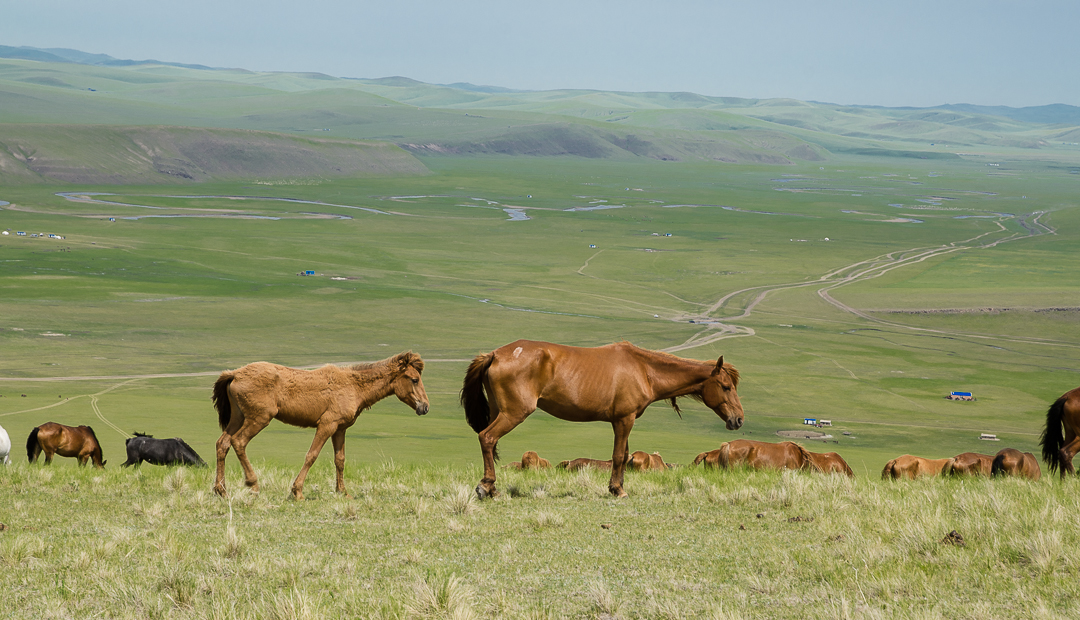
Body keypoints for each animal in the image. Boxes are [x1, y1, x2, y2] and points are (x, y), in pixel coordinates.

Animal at [212, 352, 427, 503]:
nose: (425, 407)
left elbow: (340, 460)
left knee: (223, 444)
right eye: (414, 379)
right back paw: (253, 485)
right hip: (259, 419)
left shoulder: (340, 429)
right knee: (239, 442)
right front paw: (297, 492)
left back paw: (221, 490)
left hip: (238, 418)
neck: (353, 386)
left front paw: (343, 492)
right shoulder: (326, 425)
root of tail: (234, 374)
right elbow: (311, 456)